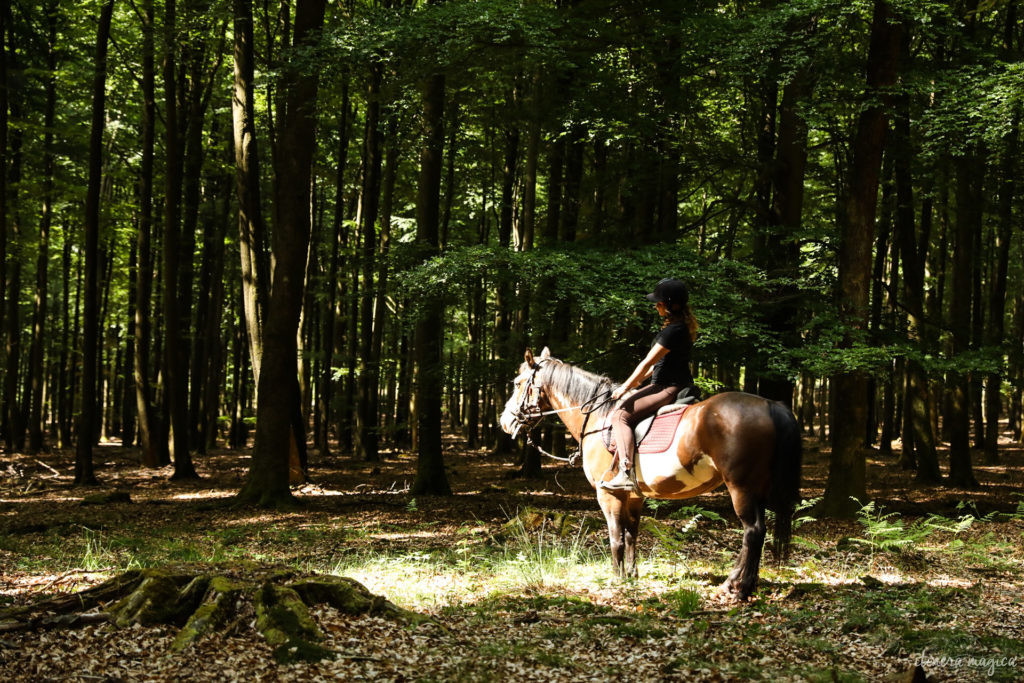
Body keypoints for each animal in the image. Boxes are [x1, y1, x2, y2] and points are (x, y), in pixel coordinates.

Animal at [499, 350, 802, 602]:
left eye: (517, 383)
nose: (505, 421)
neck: (599, 418)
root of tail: (771, 405)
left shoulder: (607, 494)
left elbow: (616, 538)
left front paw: (616, 579)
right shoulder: (634, 497)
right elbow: (632, 535)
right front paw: (631, 577)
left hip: (741, 487)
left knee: (753, 531)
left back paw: (739, 589)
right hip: (757, 487)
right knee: (757, 533)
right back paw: (736, 584)